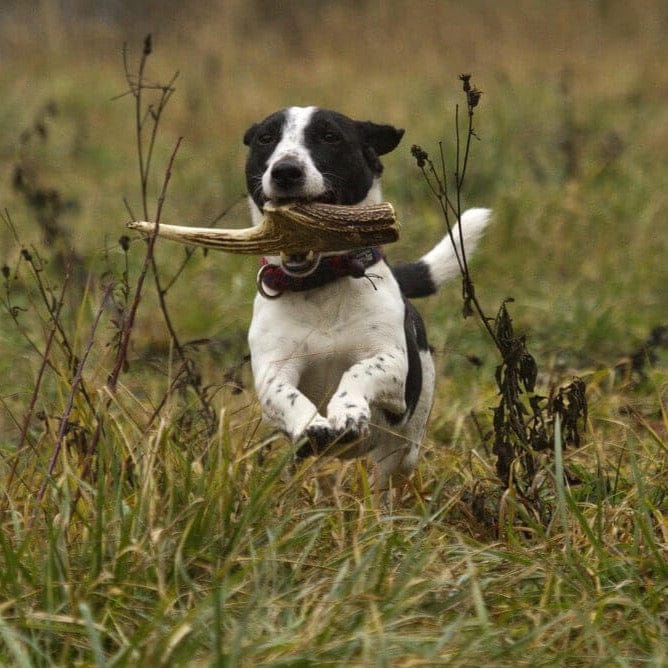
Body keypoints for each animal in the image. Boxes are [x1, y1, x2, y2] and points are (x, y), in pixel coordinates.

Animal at [243, 105, 488, 490]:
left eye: (330, 136)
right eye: (266, 138)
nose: (285, 170)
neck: (321, 285)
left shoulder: (391, 364)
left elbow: (360, 370)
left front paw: (347, 409)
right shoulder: (273, 370)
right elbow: (284, 392)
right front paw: (313, 423)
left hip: (402, 451)